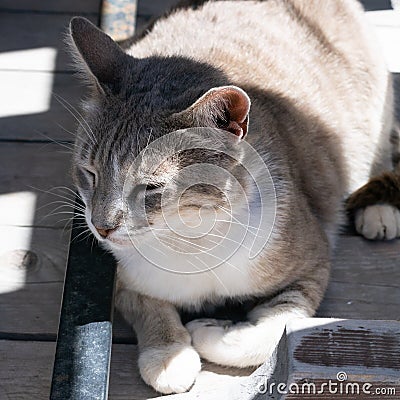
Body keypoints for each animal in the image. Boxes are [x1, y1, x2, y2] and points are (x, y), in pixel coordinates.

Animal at [67, 0, 398, 394]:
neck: (190, 239)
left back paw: (378, 208)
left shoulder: (313, 264)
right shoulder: (118, 277)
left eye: (151, 188)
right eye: (89, 173)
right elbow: (149, 307)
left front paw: (208, 331)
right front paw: (168, 356)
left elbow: (270, 335)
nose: (101, 227)